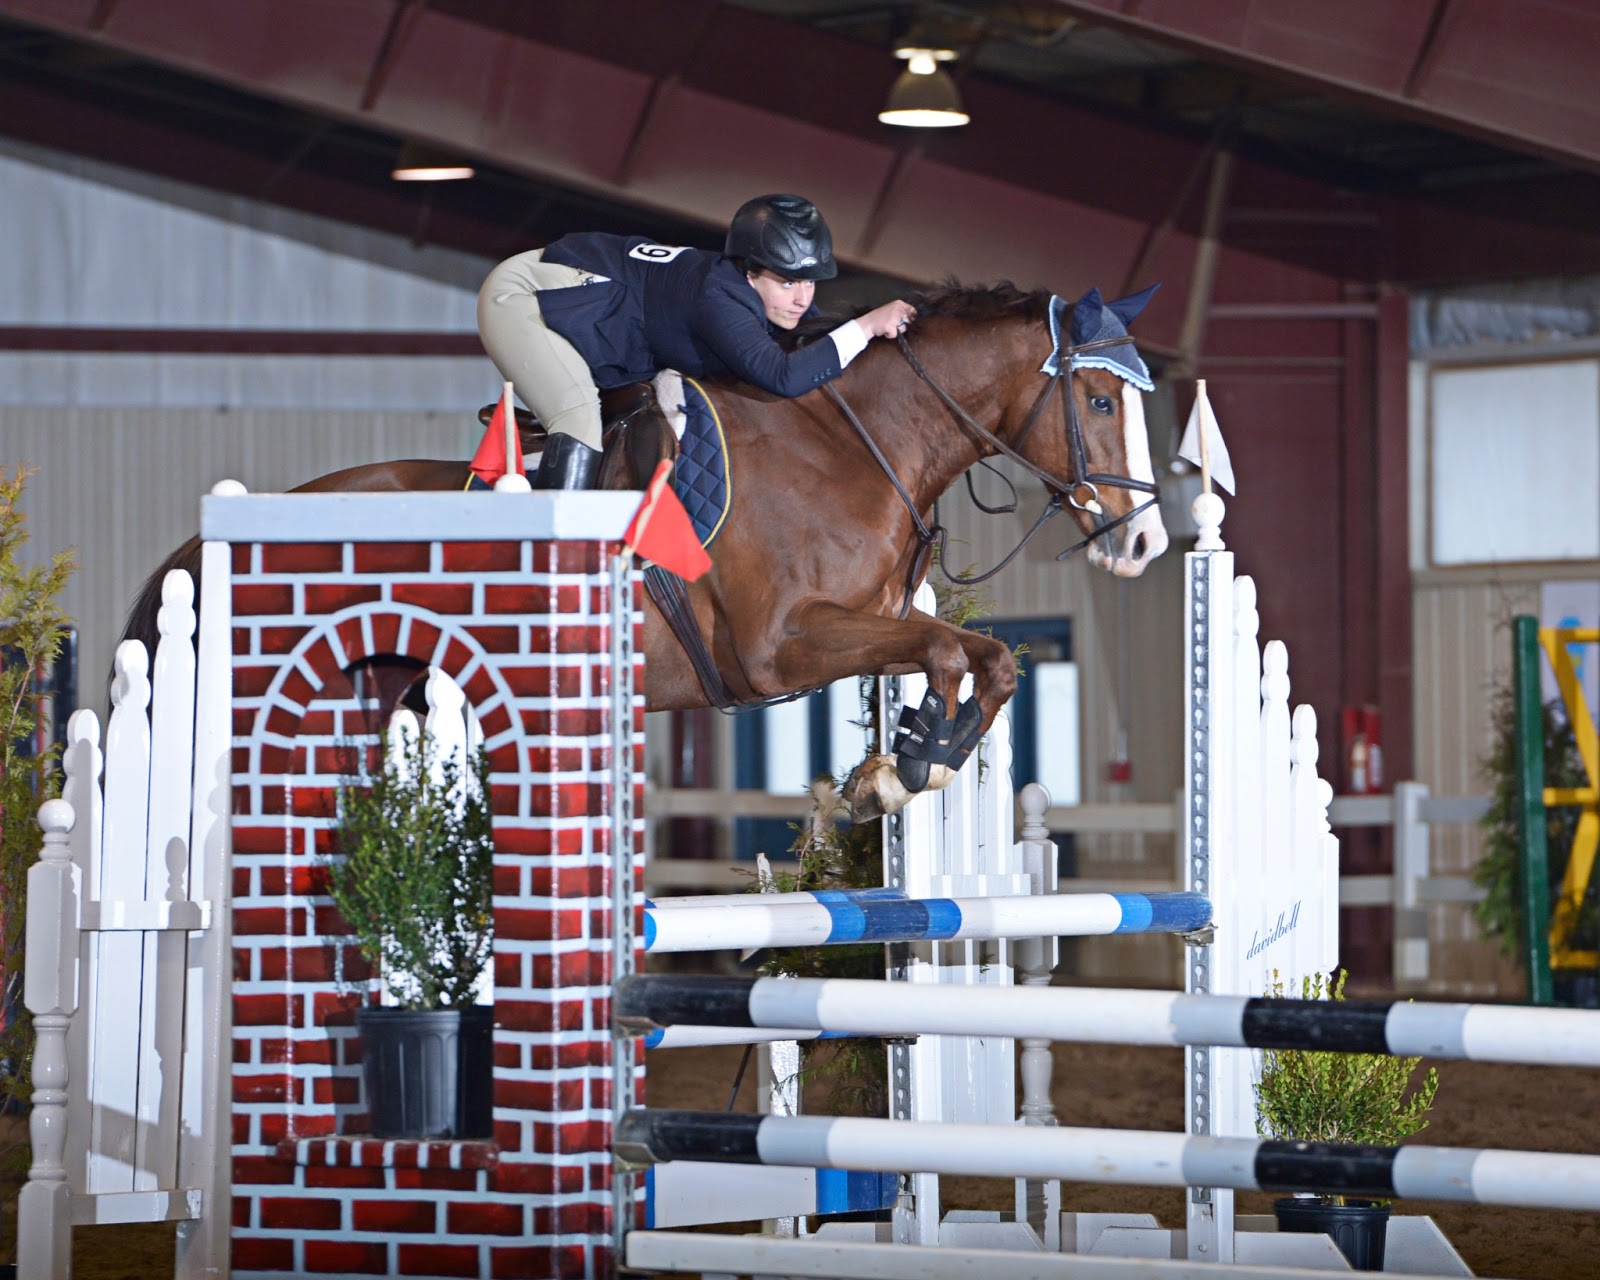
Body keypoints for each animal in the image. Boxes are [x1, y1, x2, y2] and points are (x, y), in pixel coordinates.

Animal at [122, 282, 1168, 817]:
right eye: (1101, 400)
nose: (1148, 539)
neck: (849, 441)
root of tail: (202, 545)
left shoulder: (873, 622)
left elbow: (988, 660)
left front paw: (912, 756)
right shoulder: (780, 647)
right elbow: (951, 649)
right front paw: (905, 767)